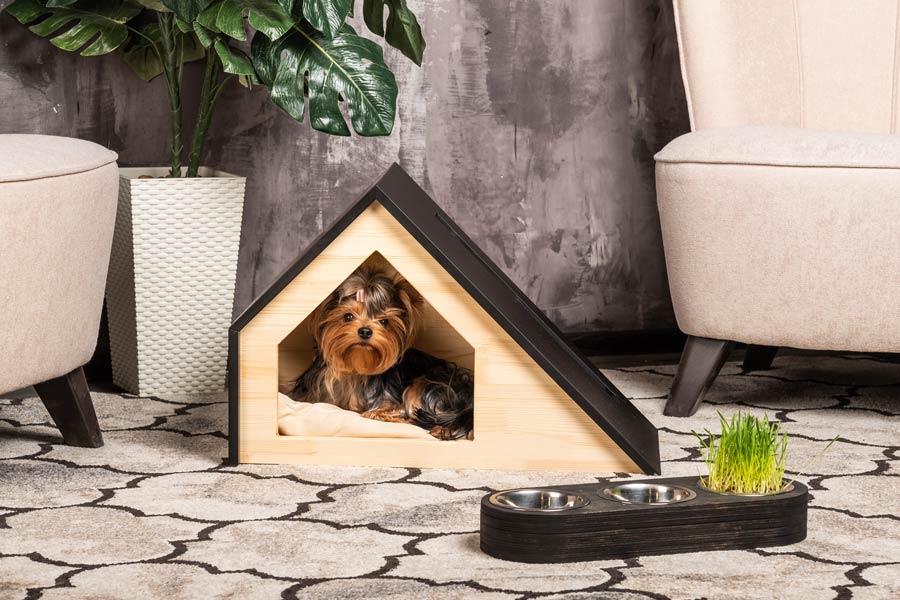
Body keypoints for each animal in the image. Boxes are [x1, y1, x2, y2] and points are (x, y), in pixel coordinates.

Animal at [288, 264, 474, 438]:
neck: (356, 366)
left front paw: (378, 413)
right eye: (347, 316)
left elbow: (392, 407)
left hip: (428, 385)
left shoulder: (390, 398)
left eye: (384, 321)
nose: (365, 331)